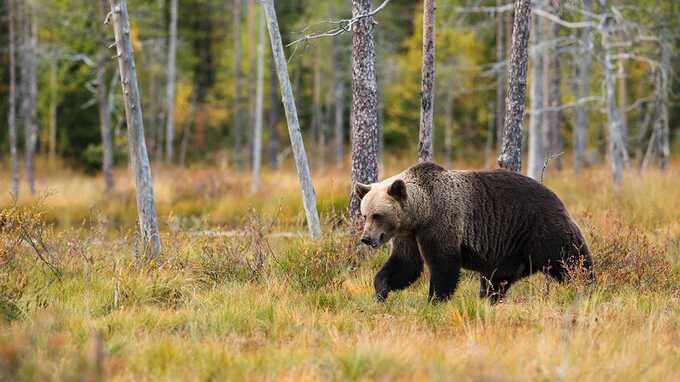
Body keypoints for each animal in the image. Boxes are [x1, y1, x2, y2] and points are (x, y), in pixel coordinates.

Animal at [354, 163, 592, 302]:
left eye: (378, 215)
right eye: (364, 214)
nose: (366, 238)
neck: (421, 212)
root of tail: (556, 196)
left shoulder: (442, 222)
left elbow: (444, 265)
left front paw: (434, 300)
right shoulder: (408, 235)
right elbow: (406, 264)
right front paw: (381, 291)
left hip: (540, 229)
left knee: (571, 259)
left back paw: (587, 285)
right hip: (509, 251)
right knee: (496, 280)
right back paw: (489, 299)